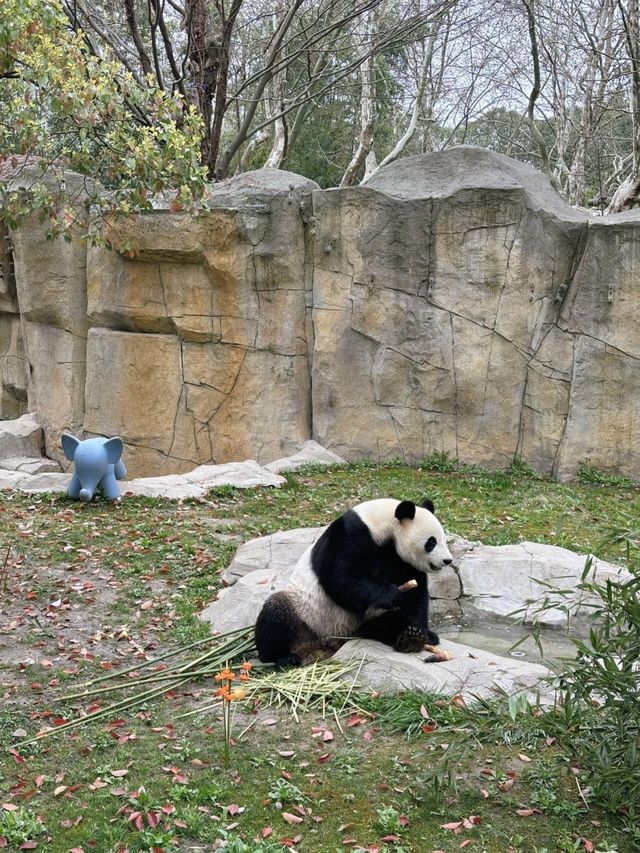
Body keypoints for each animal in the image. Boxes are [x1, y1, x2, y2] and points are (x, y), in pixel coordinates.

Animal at [252, 496, 452, 668]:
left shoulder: (401, 560)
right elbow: (339, 577)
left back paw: (410, 639)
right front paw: (391, 594)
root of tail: (332, 640)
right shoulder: (351, 535)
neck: (385, 525)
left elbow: (416, 595)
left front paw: (422, 632)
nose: (447, 560)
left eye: (444, 539)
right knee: (276, 614)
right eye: (431, 542)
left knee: (385, 624)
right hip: (306, 613)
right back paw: (282, 657)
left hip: (363, 622)